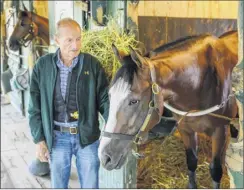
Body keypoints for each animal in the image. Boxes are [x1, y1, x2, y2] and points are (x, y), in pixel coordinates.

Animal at [98, 31, 237, 189]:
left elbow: (215, 170)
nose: (105, 157)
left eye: (134, 101)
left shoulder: (220, 131)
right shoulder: (186, 129)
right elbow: (191, 162)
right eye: (110, 94)